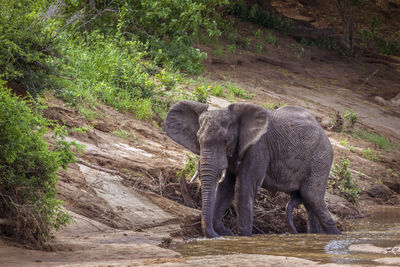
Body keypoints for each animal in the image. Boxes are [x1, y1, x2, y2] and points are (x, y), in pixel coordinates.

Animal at [163, 100, 340, 239]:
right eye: (198, 139)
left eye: (226, 140)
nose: (219, 234)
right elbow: (226, 188)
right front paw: (226, 233)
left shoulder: (258, 147)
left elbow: (243, 187)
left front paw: (243, 237)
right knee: (310, 201)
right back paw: (316, 235)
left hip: (321, 158)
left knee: (311, 196)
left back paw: (335, 235)